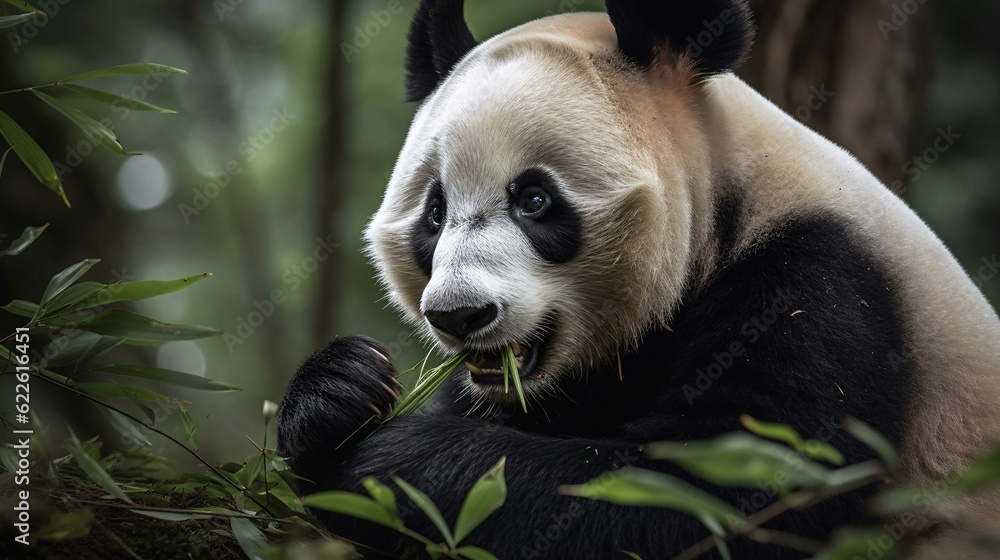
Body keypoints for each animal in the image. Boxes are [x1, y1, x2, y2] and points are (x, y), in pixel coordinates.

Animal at [278, 2, 1000, 556]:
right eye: (435, 212)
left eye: (534, 200)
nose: (459, 314)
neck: (734, 198)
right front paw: (341, 392)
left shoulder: (823, 291)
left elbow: (711, 497)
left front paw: (389, 463)